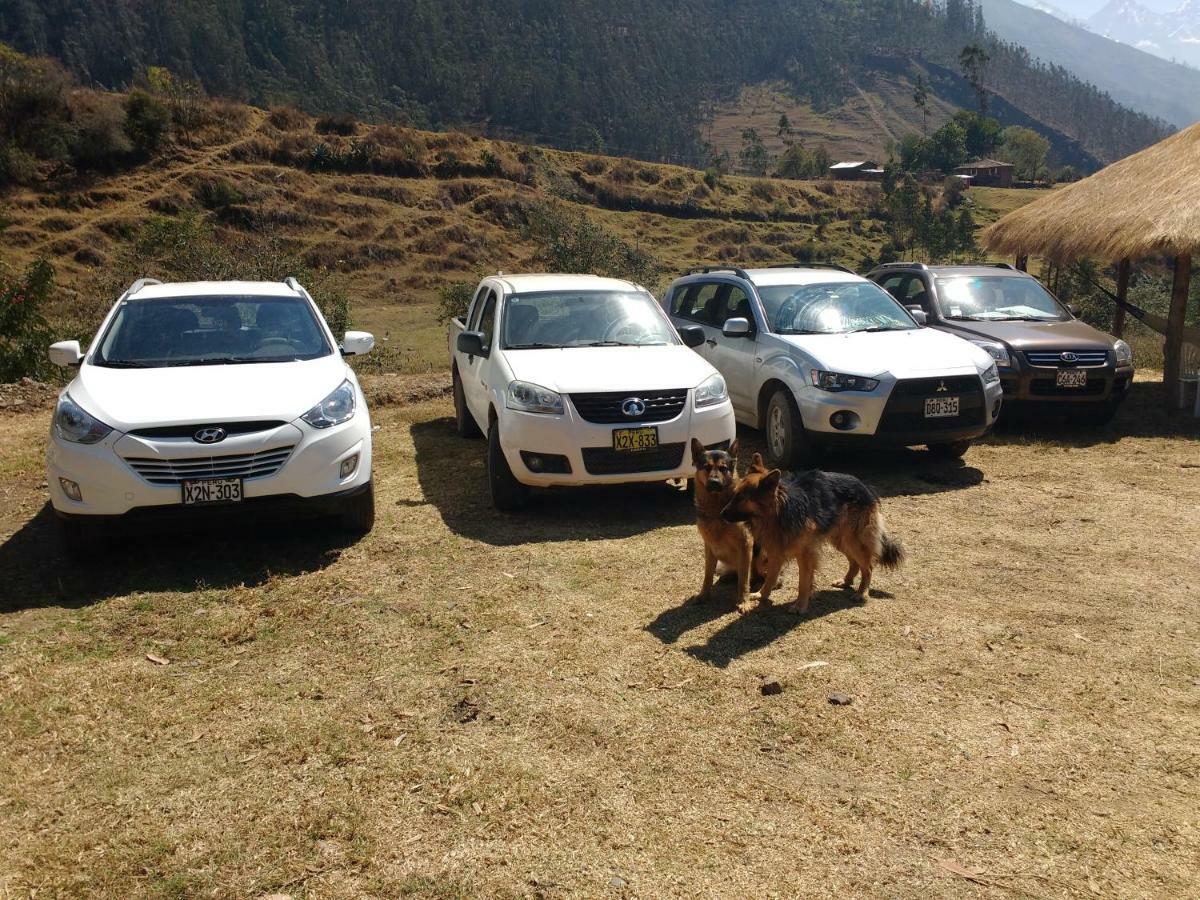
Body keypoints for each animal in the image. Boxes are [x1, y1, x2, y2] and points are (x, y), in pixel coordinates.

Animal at [696, 439, 748, 607]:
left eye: (723, 468)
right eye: (706, 467)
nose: (714, 481)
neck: (717, 508)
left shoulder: (746, 544)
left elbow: (744, 577)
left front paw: (744, 601)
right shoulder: (709, 545)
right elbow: (707, 574)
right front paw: (704, 595)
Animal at [720, 458, 902, 614]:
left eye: (740, 498)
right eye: (734, 495)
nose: (721, 514)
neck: (781, 511)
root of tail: (865, 486)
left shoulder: (805, 555)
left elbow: (803, 582)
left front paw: (800, 605)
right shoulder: (776, 552)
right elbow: (771, 577)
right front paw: (761, 594)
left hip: (852, 539)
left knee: (868, 566)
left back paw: (862, 592)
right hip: (841, 540)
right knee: (855, 562)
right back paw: (846, 581)